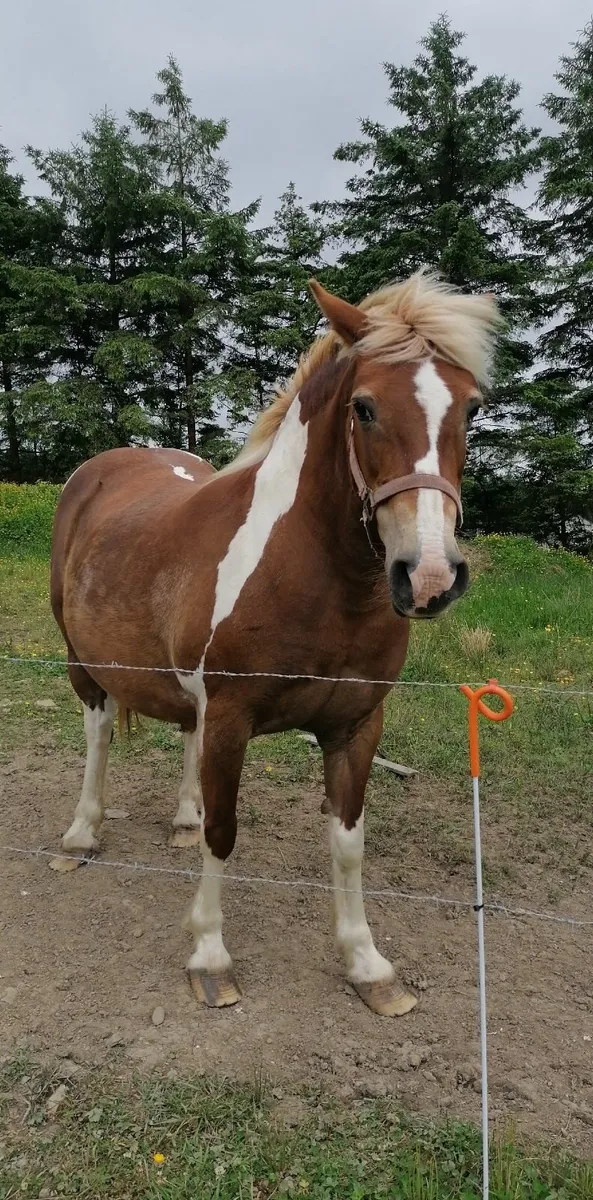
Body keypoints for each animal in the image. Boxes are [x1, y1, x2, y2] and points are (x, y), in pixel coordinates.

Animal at [49, 271, 501, 1017]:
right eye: (364, 408)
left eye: (469, 409)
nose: (431, 576)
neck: (314, 575)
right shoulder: (232, 718)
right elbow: (225, 831)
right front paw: (209, 955)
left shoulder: (356, 725)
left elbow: (347, 844)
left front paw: (368, 966)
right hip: (84, 665)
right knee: (100, 731)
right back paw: (81, 834)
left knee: (184, 736)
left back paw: (179, 817)